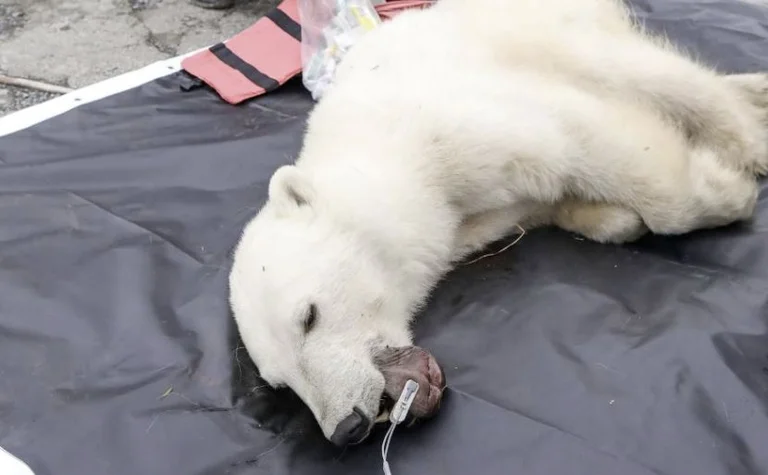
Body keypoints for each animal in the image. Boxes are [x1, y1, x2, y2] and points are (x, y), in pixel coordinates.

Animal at [228, 0, 768, 447]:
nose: (345, 427)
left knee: (649, 75)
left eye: (308, 316)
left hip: (545, 31)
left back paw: (749, 139)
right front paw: (613, 216)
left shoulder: (454, 128)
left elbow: (581, 138)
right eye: (279, 382)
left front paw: (727, 190)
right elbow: (553, 199)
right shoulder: (471, 218)